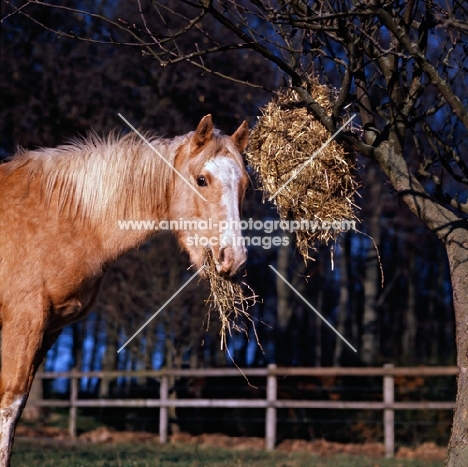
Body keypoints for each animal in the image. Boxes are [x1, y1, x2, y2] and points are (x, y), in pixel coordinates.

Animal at [0, 115, 249, 466]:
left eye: (245, 186)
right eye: (202, 180)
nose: (234, 258)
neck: (63, 218)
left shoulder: (49, 329)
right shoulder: (24, 322)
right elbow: (9, 403)